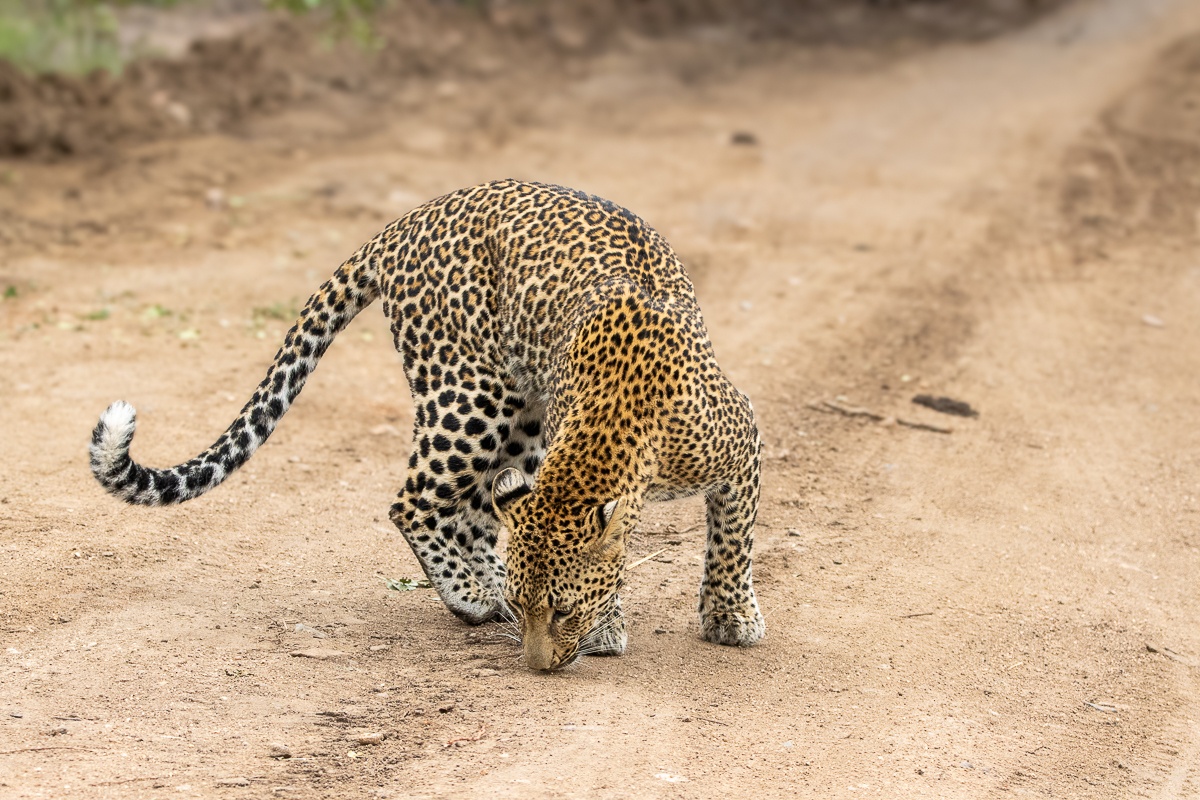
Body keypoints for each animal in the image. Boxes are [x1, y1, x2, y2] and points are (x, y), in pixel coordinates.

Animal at [90, 179, 766, 671]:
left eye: (563, 610)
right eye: (536, 608)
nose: (538, 666)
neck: (621, 421)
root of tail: (409, 220)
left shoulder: (743, 445)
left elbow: (731, 540)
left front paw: (730, 618)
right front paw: (618, 624)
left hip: (519, 413)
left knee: (475, 510)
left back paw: (482, 583)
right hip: (470, 392)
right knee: (414, 503)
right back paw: (472, 595)